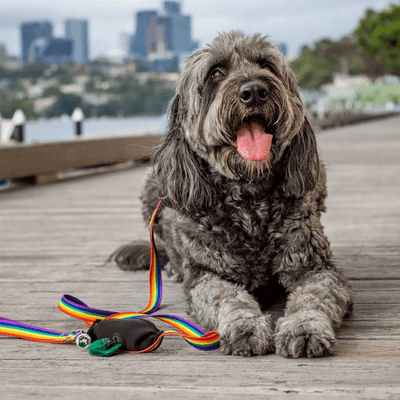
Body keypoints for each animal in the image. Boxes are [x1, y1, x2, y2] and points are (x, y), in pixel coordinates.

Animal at [110, 30, 354, 356]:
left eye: (267, 65)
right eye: (216, 73)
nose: (255, 91)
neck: (250, 199)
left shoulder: (316, 267)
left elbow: (313, 295)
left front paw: (304, 327)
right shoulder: (206, 274)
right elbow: (226, 296)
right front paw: (244, 324)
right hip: (152, 188)